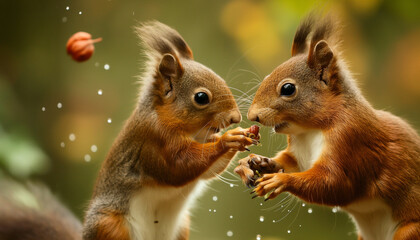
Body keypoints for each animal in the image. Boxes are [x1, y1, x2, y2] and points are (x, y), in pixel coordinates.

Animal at [81, 21, 256, 240]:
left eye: (222, 80)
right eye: (201, 97)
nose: (235, 118)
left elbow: (207, 171)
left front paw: (244, 160)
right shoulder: (154, 139)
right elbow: (179, 166)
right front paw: (229, 138)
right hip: (109, 225)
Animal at [235, 13, 418, 240]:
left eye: (288, 89)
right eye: (267, 76)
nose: (253, 116)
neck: (310, 131)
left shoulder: (351, 140)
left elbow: (336, 185)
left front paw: (280, 180)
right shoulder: (299, 154)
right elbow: (290, 162)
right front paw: (254, 162)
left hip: (409, 231)